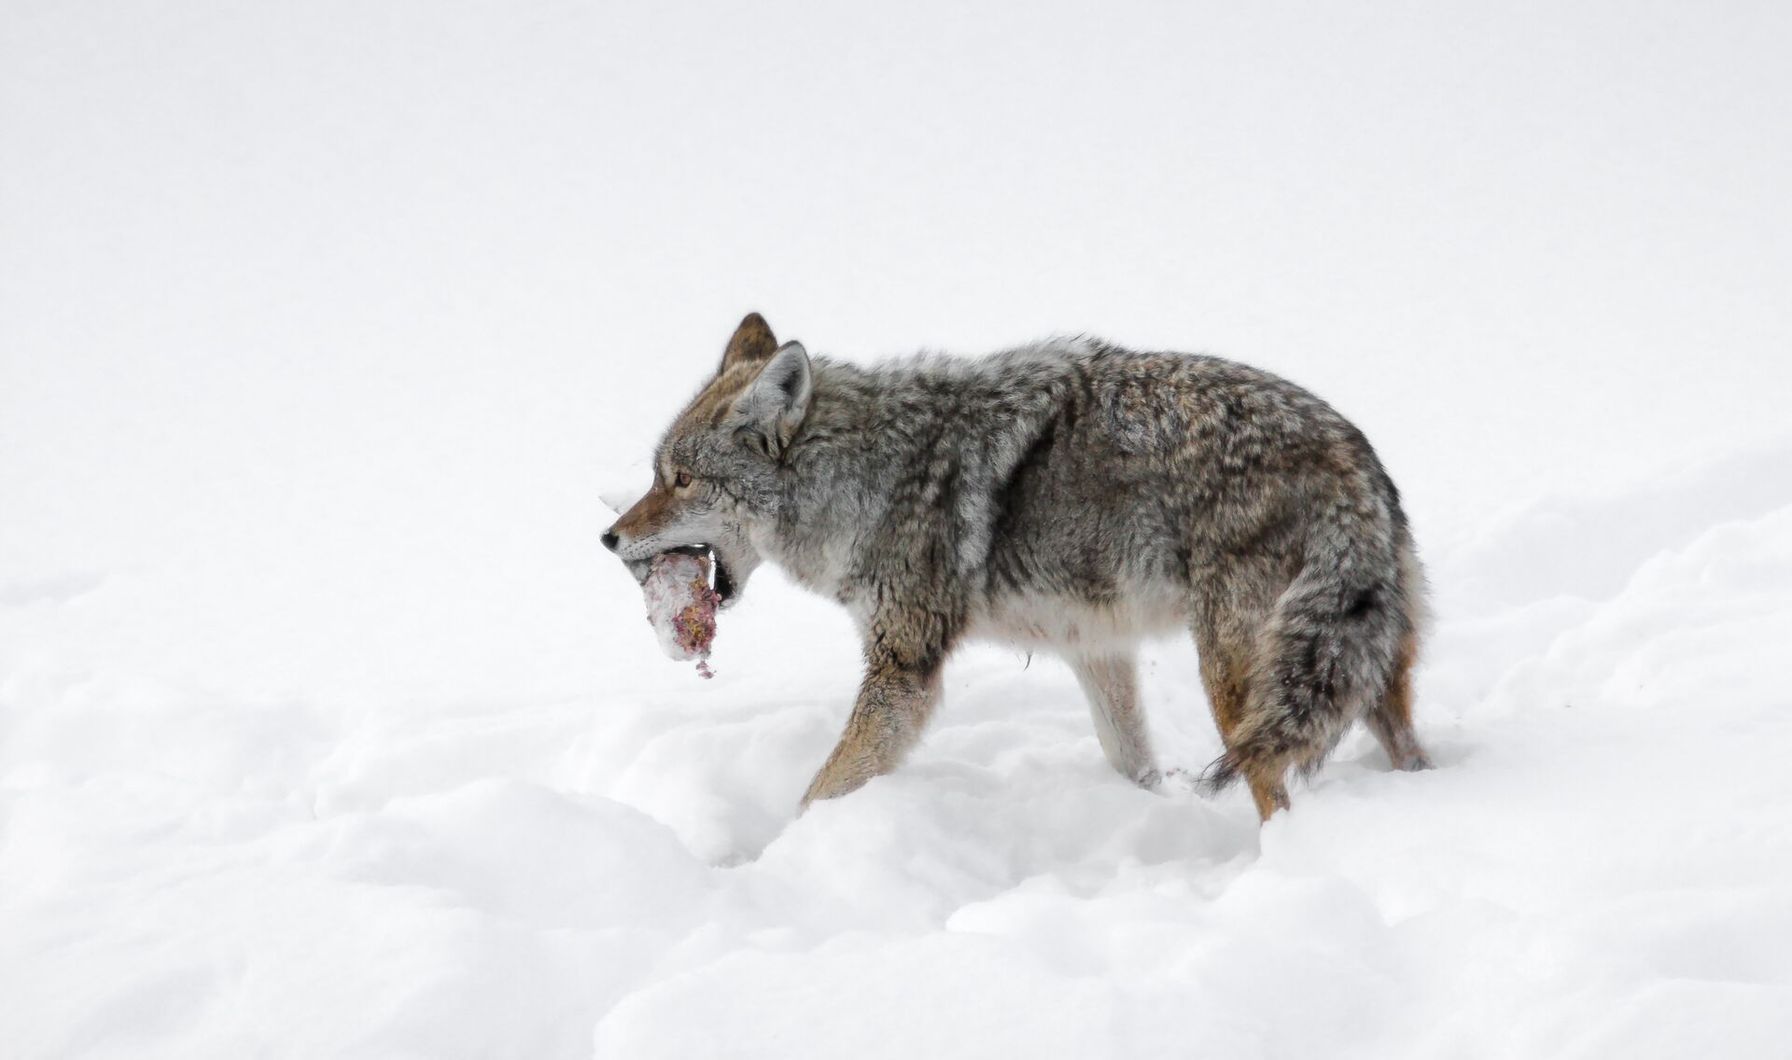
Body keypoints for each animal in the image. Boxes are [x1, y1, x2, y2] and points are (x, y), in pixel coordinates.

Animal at [603, 314, 1431, 820]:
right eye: (657, 474)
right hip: (1357, 680)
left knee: (1272, 789)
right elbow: (1133, 761)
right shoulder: (1097, 651)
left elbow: (820, 791)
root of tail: (1350, 458)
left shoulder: (903, 673)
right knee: (1408, 755)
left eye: (681, 480)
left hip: (1237, 686)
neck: (868, 476)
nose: (608, 537)